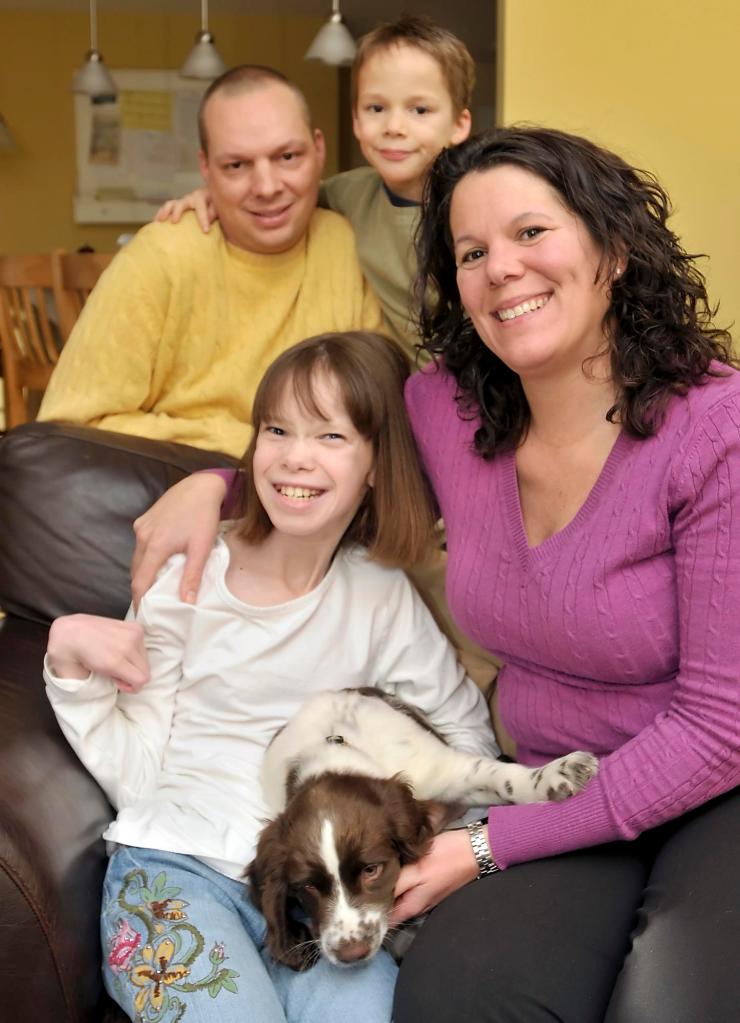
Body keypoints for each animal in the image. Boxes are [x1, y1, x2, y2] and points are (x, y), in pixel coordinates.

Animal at [247, 687, 597, 965]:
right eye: (305, 887)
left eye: (372, 869)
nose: (351, 954)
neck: (335, 759)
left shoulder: (445, 771)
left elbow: (501, 778)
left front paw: (558, 773)